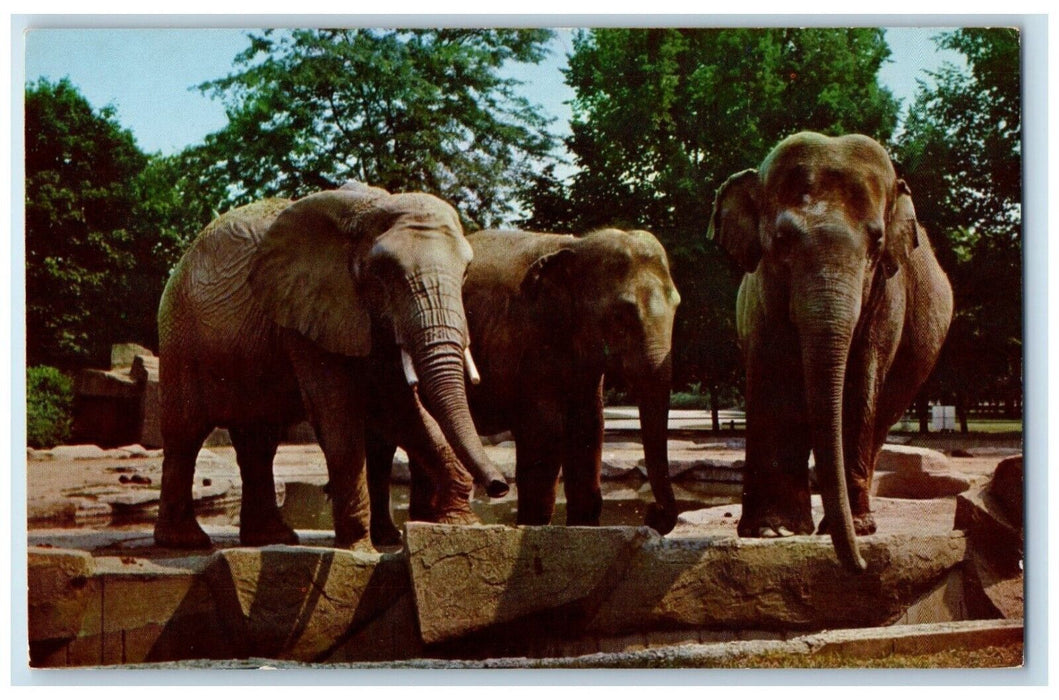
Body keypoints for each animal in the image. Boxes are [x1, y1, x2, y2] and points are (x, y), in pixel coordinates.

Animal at [154, 183, 508, 550]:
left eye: (465, 271)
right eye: (387, 272)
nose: (499, 486)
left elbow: (400, 409)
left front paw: (461, 526)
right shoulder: (307, 313)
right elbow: (338, 414)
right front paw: (358, 548)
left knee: (259, 439)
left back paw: (272, 538)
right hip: (180, 334)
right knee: (185, 433)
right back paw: (186, 542)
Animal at [367, 227, 682, 543]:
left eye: (678, 304)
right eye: (622, 313)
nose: (652, 513)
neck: (576, 246)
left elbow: (589, 427)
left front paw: (583, 528)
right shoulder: (527, 336)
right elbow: (544, 431)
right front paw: (535, 528)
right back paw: (396, 536)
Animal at [708, 131, 953, 572]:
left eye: (877, 241)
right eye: (782, 241)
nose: (863, 566)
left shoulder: (887, 296)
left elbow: (861, 380)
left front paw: (857, 531)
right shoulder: (761, 295)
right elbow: (772, 377)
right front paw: (771, 531)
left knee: (880, 414)